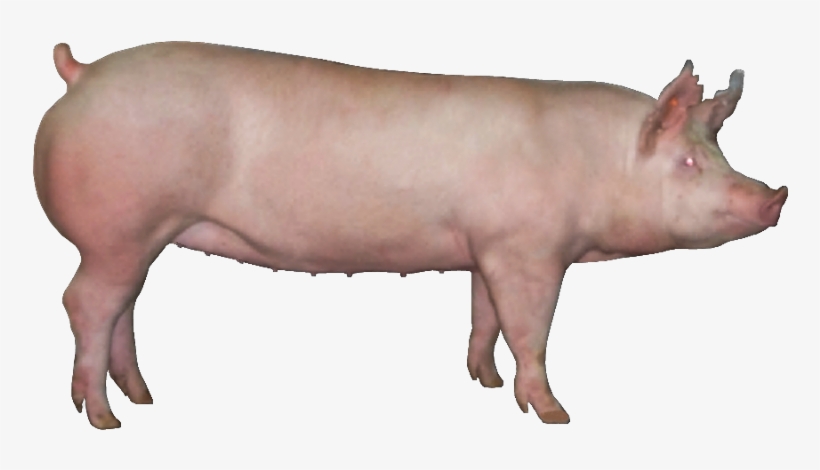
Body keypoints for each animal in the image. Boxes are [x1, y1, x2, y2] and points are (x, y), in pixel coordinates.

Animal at [33, 42, 787, 429]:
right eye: (688, 163)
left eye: (719, 152)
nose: (776, 196)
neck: (591, 164)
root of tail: (81, 73)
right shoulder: (530, 249)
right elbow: (532, 330)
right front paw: (553, 415)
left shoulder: (487, 248)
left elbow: (486, 318)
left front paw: (483, 381)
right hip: (117, 228)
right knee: (84, 303)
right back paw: (105, 419)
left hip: (140, 238)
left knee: (123, 307)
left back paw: (142, 398)